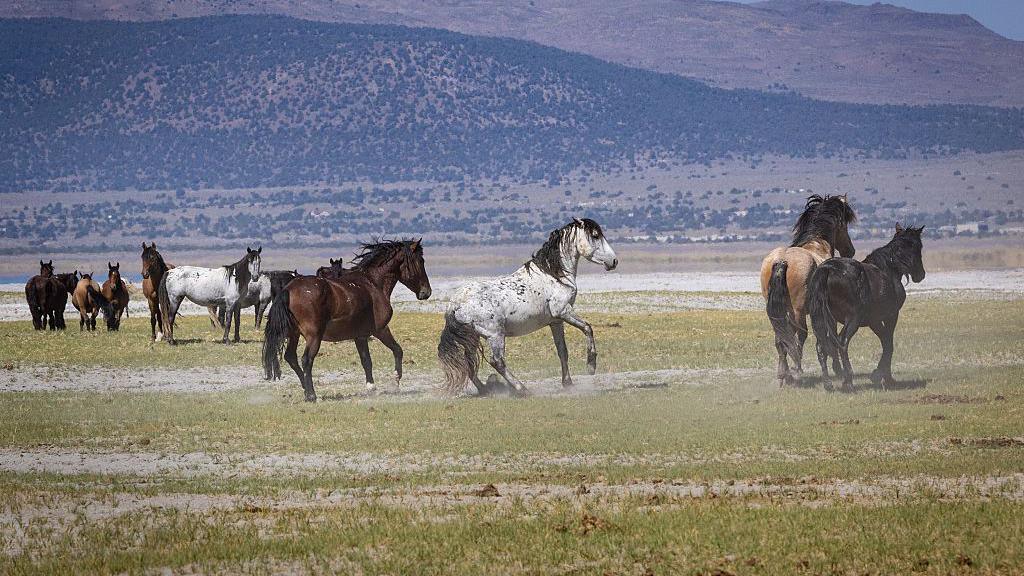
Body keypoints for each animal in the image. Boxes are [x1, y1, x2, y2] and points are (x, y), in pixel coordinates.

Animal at [263, 240, 431, 402]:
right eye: (420, 261)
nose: (426, 292)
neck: (373, 283)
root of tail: (288, 289)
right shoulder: (379, 330)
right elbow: (394, 351)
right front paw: (394, 381)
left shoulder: (360, 335)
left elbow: (368, 360)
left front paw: (372, 386)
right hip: (313, 336)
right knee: (306, 360)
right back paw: (311, 395)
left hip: (294, 334)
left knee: (291, 357)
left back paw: (305, 389)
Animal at [438, 218, 618, 397]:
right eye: (595, 235)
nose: (614, 261)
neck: (555, 275)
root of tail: (455, 304)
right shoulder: (563, 311)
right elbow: (587, 328)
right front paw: (591, 366)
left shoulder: (556, 321)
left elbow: (562, 351)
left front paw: (568, 383)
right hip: (495, 335)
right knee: (497, 361)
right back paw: (522, 389)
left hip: (473, 337)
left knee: (469, 362)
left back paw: (486, 390)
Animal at [759, 194, 857, 387]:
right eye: (843, 225)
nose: (850, 250)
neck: (817, 245)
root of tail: (782, 260)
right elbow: (829, 333)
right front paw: (837, 368)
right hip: (797, 311)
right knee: (797, 336)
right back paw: (795, 370)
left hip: (778, 312)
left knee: (781, 338)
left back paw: (784, 375)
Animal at [808, 224, 926, 392]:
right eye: (918, 246)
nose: (920, 275)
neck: (888, 270)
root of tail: (828, 269)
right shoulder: (891, 316)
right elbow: (889, 344)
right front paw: (883, 377)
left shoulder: (874, 321)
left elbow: (885, 342)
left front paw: (880, 375)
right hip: (852, 320)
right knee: (842, 342)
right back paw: (848, 381)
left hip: (826, 320)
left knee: (821, 346)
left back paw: (828, 384)